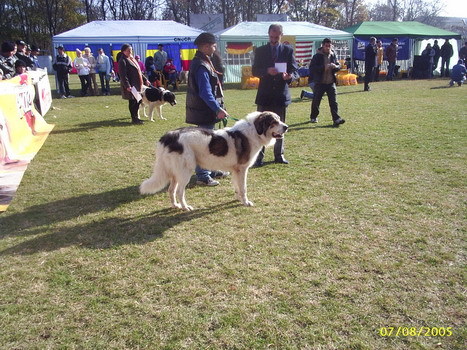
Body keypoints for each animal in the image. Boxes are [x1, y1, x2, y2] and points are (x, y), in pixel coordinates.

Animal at [139, 112, 288, 211]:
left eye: (279, 119)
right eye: (273, 122)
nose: (286, 127)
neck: (254, 131)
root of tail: (168, 136)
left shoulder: (236, 170)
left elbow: (237, 187)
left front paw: (238, 198)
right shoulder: (242, 169)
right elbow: (243, 188)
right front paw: (245, 202)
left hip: (175, 173)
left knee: (171, 190)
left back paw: (176, 205)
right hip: (185, 172)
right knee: (180, 192)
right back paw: (185, 207)